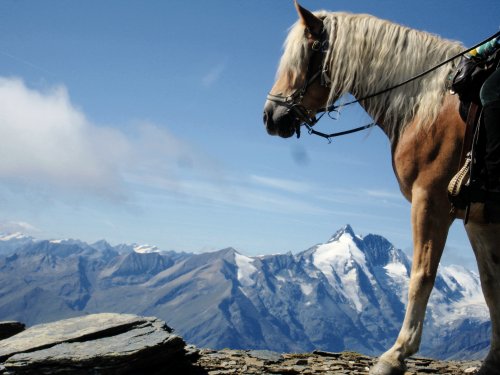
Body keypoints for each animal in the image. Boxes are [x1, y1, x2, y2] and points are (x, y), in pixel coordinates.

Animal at [264, 1, 498, 374]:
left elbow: (421, 276)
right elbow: (491, 287)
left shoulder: (430, 201)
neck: (426, 107)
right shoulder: (478, 218)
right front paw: (493, 360)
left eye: (306, 54)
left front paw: (396, 354)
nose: (270, 116)